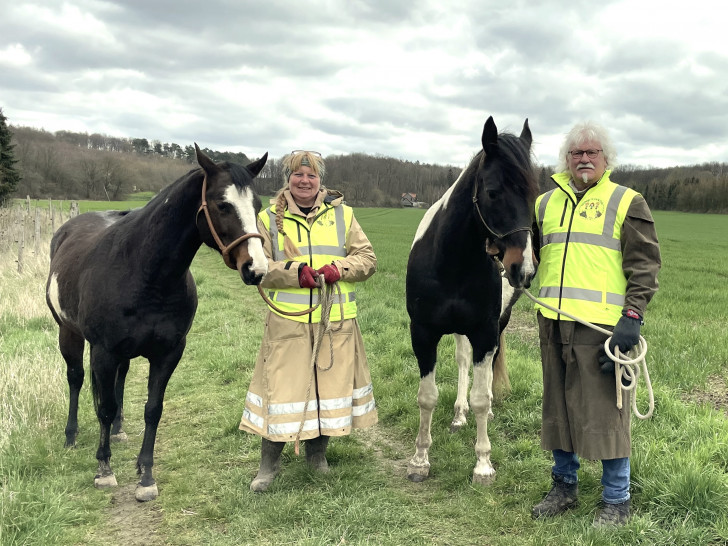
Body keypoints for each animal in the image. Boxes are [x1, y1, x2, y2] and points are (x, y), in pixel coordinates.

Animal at [45, 143, 268, 498]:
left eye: (258, 205)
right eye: (223, 204)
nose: (256, 268)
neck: (144, 272)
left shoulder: (168, 353)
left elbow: (153, 409)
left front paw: (146, 476)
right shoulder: (104, 351)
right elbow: (104, 407)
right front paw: (104, 469)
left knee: (120, 380)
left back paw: (119, 430)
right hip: (68, 333)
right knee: (76, 378)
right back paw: (71, 435)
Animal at [406, 117, 536, 482]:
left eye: (533, 194)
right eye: (492, 192)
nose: (523, 269)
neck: (451, 261)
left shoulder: (485, 332)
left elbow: (481, 395)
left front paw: (483, 464)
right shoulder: (423, 333)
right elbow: (427, 397)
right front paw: (420, 459)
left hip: (496, 327)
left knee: (486, 370)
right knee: (463, 361)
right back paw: (459, 414)